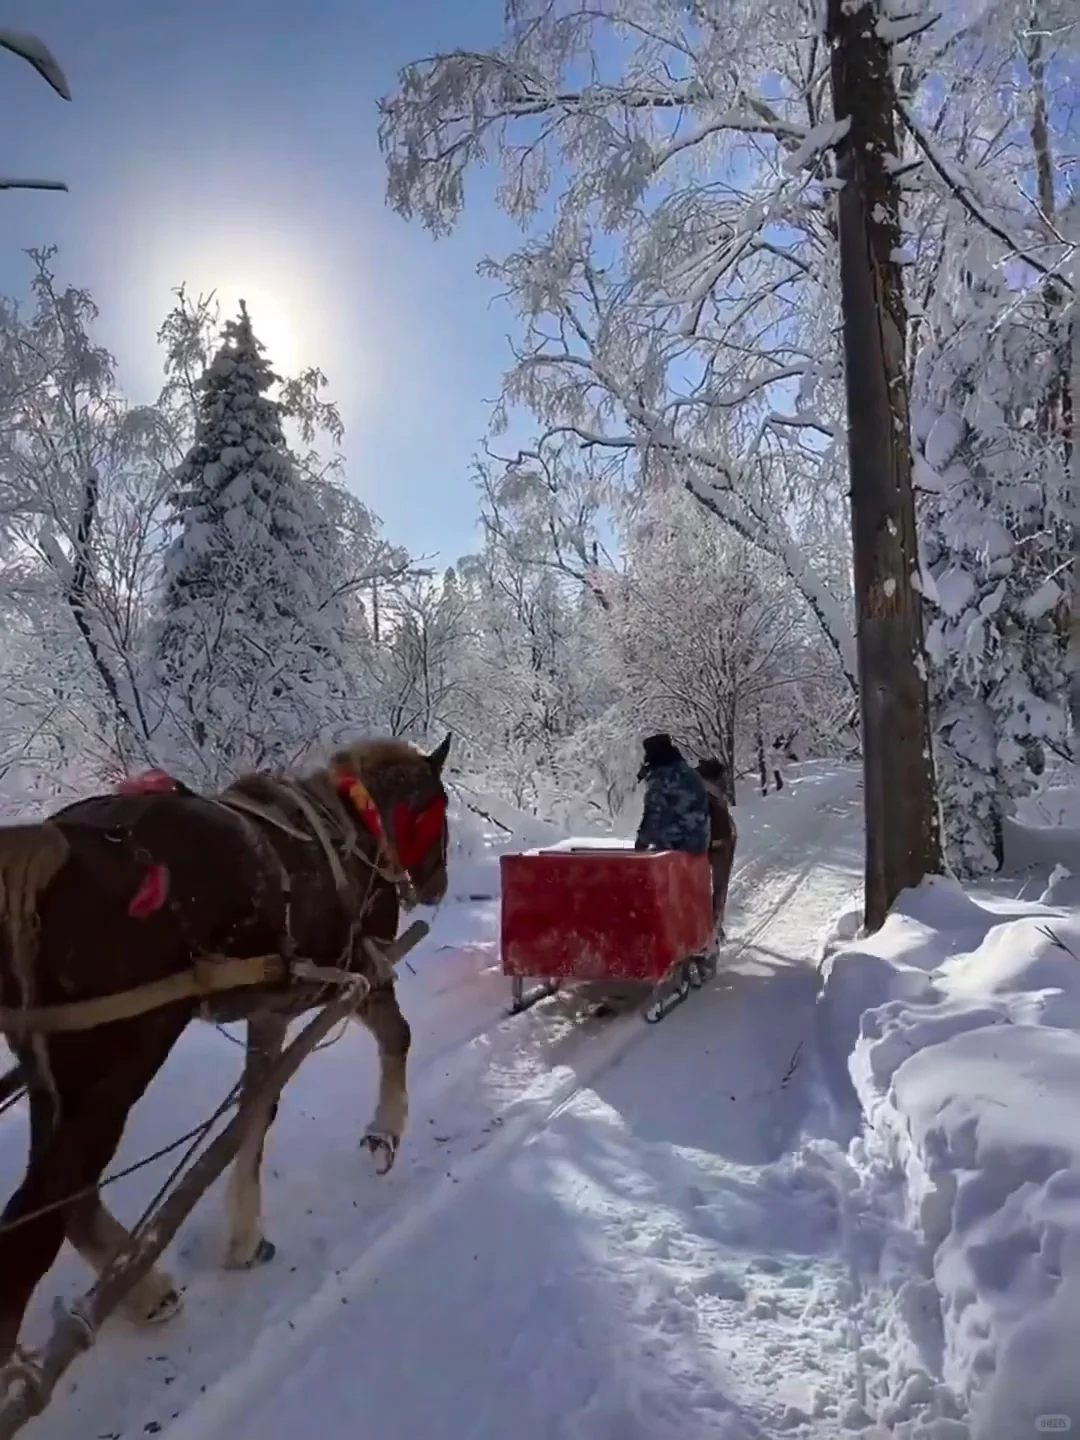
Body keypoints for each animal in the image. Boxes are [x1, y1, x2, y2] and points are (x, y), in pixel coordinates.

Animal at [0, 737, 452, 1376]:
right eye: (438, 809)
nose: (438, 882)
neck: (353, 827)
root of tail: (52, 847)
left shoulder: (271, 1011)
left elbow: (255, 1111)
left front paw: (243, 1235)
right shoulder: (359, 972)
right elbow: (397, 1036)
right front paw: (384, 1131)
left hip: (52, 1075)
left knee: (65, 1196)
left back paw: (143, 1289)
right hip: (120, 1060)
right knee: (42, 1209)